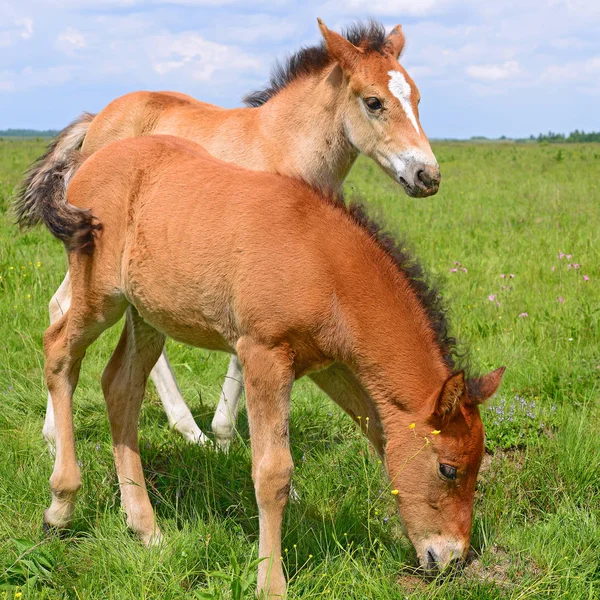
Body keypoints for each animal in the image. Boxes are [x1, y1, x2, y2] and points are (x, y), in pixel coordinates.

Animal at [17, 18, 440, 450]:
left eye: (419, 99)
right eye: (374, 102)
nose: (427, 175)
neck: (283, 146)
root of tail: (96, 119)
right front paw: (223, 436)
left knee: (62, 305)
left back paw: (55, 434)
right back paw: (186, 428)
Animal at [19, 136, 502, 600]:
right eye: (448, 469)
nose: (452, 560)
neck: (323, 263)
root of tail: (88, 163)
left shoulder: (331, 365)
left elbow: (381, 434)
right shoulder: (264, 355)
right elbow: (273, 473)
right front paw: (271, 585)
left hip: (148, 313)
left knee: (120, 386)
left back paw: (146, 529)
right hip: (100, 296)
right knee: (58, 352)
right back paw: (60, 507)